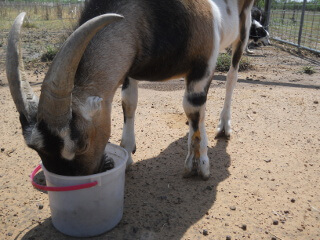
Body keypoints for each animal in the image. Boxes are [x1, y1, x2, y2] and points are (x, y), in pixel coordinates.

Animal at [6, 0, 254, 180]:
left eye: (82, 144)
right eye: (36, 151)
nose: (103, 167)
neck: (150, 13)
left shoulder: (203, 64)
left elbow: (193, 108)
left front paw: (199, 166)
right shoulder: (131, 67)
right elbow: (128, 102)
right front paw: (128, 154)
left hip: (244, 25)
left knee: (231, 77)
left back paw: (224, 126)